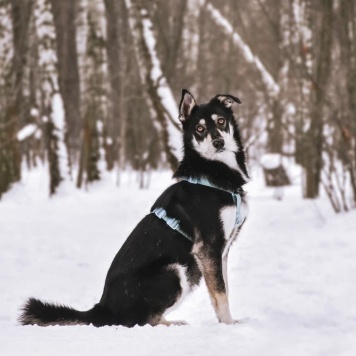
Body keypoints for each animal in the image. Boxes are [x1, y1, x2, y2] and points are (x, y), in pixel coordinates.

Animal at [18, 89, 248, 328]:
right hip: (175, 271)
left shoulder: (221, 252)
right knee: (144, 320)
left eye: (221, 121)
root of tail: (102, 308)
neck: (213, 176)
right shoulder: (208, 248)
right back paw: (171, 324)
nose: (219, 142)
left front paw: (230, 322)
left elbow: (224, 290)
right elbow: (220, 293)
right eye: (200, 129)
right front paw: (229, 326)